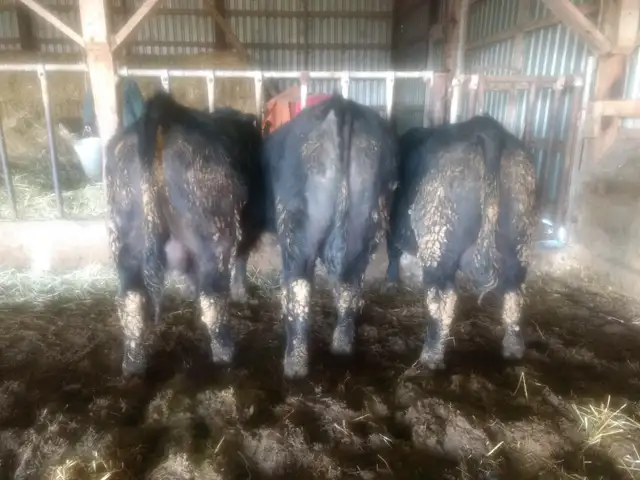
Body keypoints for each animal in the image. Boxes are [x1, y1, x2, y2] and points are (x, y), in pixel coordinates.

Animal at [105, 91, 265, 377]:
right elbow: (241, 260)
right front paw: (241, 293)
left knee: (131, 298)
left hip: (124, 239)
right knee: (213, 297)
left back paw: (133, 365)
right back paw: (226, 354)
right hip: (215, 236)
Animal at [257, 94, 398, 379]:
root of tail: (342, 107)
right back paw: (342, 347)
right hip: (365, 227)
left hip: (297, 230)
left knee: (299, 285)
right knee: (350, 284)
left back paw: (294, 365)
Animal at [386, 114, 539, 370]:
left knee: (442, 298)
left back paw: (431, 356)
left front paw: (390, 282)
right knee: (514, 293)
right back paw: (513, 349)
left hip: (439, 241)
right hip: (519, 242)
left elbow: (392, 253)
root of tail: (489, 129)